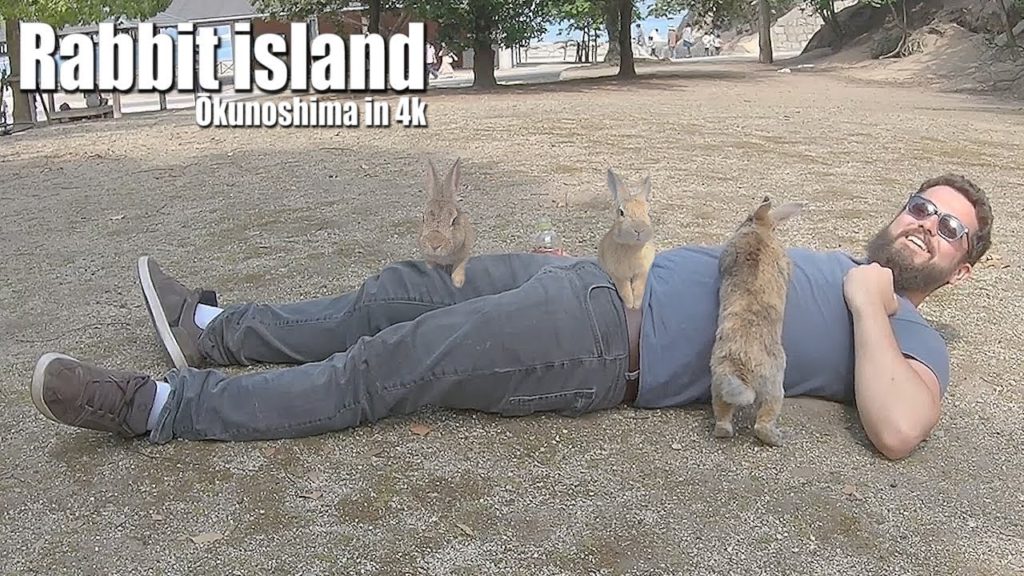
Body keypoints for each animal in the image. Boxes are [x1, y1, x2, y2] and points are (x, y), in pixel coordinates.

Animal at [419, 157, 476, 288]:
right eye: (424, 218)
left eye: (454, 220)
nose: (434, 244)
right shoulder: (427, 257)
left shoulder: (465, 253)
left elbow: (460, 265)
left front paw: (458, 283)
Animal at [598, 169, 656, 310]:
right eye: (621, 212)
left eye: (648, 212)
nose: (639, 229)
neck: (632, 248)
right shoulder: (616, 273)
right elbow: (624, 287)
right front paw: (630, 304)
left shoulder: (642, 271)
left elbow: (640, 284)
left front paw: (637, 303)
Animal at [709, 195, 803, 447]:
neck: (760, 230)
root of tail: (741, 367)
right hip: (775, 387)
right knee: (763, 421)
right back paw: (776, 438)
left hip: (718, 383)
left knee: (722, 415)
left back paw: (723, 431)